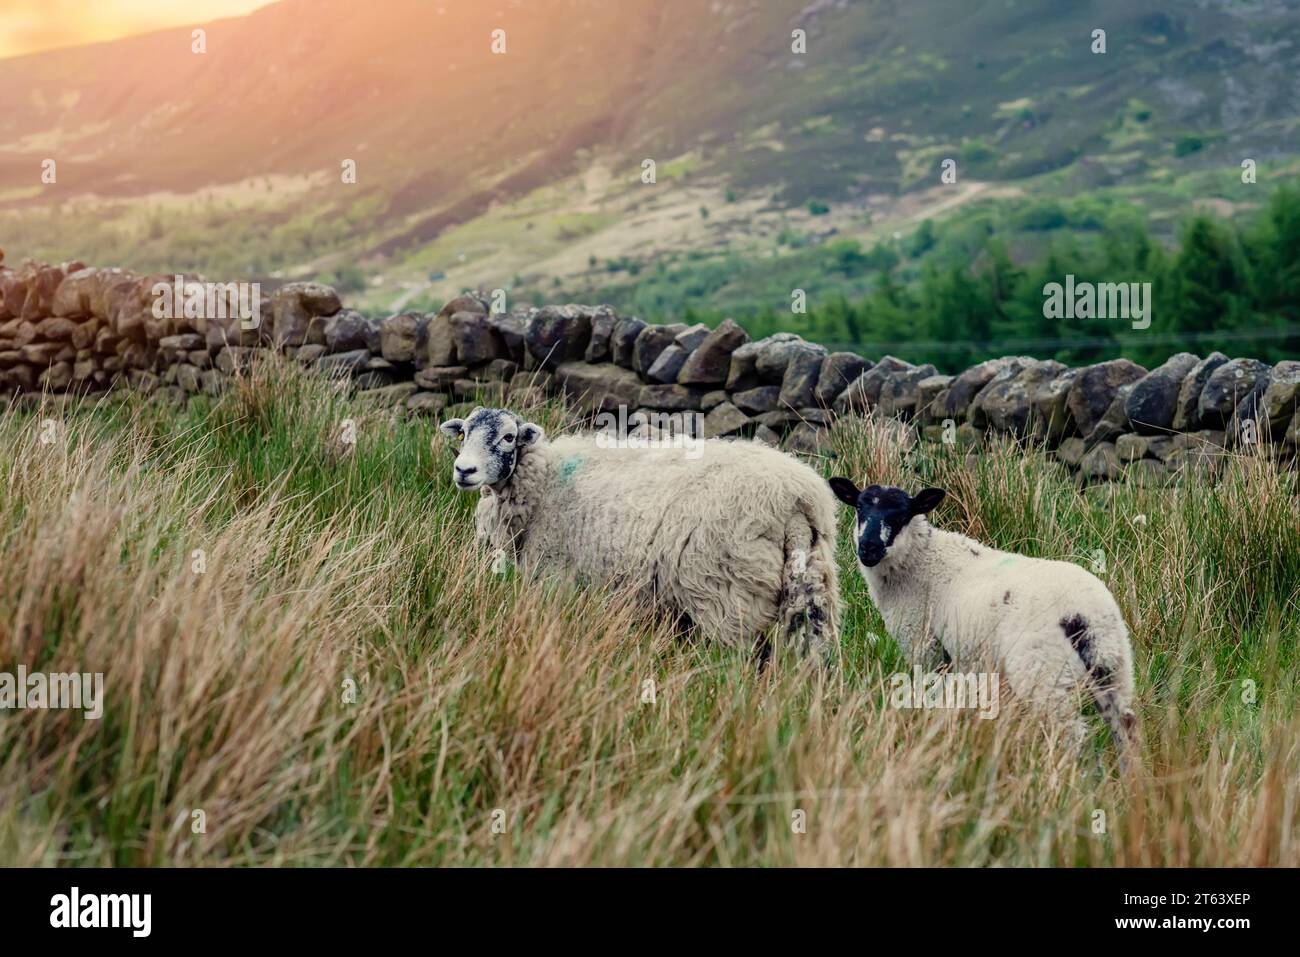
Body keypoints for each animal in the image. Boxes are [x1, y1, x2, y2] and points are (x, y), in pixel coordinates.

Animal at [439, 406, 841, 657]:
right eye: (463, 433)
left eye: (508, 437)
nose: (464, 470)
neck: (544, 482)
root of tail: (795, 496)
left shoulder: (554, 577)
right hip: (812, 584)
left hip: (727, 594)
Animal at [828, 477, 1138, 763]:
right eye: (859, 507)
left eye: (902, 514)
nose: (868, 548)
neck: (920, 562)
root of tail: (1086, 614)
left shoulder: (924, 646)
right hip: (1113, 665)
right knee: (1125, 725)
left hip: (1044, 671)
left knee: (1070, 733)